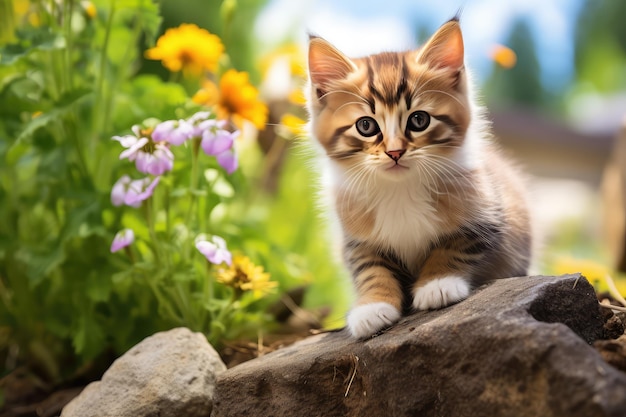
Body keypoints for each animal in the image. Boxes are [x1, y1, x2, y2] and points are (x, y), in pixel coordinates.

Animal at [304, 17, 528, 340]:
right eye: (366, 126)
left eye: (419, 120)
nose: (395, 152)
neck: (399, 189)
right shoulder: (356, 238)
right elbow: (370, 268)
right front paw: (372, 306)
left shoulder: (487, 212)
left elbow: (454, 246)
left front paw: (438, 284)